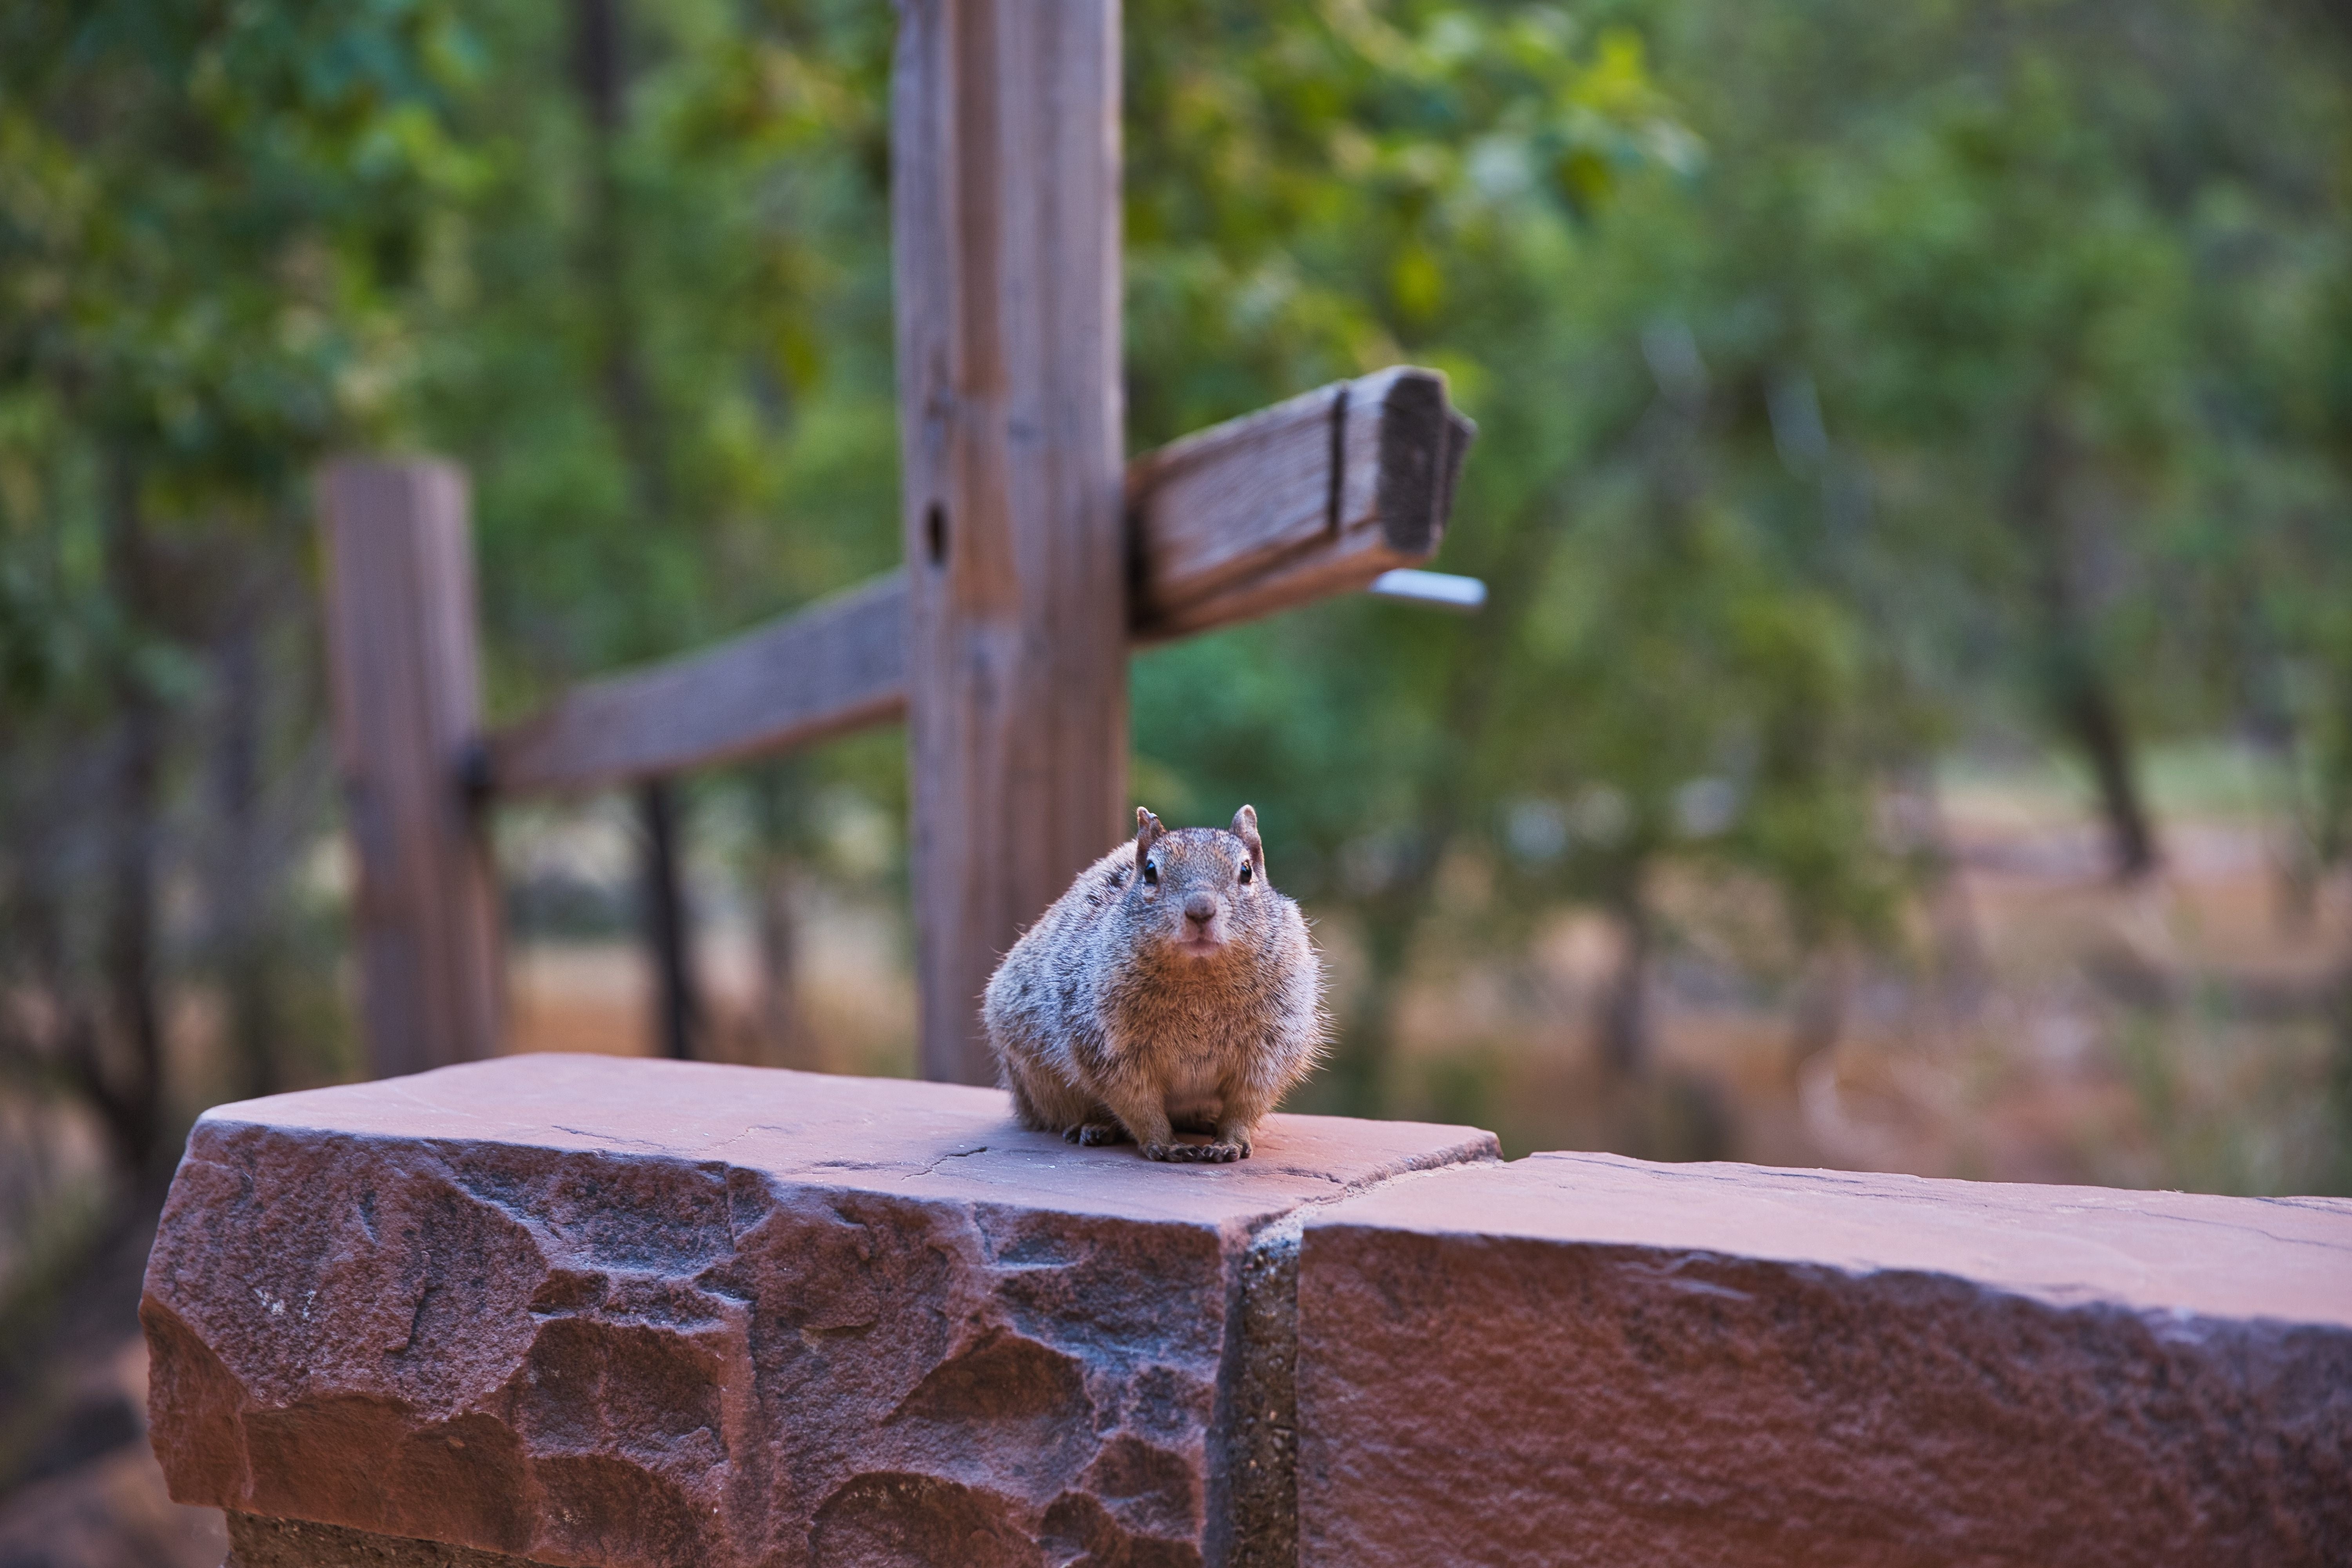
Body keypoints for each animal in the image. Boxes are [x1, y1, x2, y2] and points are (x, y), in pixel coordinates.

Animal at [978, 808, 1327, 1166]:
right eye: (1150, 872)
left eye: (1246, 871)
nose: (1200, 910)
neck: (1200, 979)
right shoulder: (1110, 1047)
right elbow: (1138, 1102)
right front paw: (1164, 1143)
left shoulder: (1270, 1048)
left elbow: (1247, 1101)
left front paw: (1229, 1142)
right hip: (1039, 1082)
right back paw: (1093, 1127)